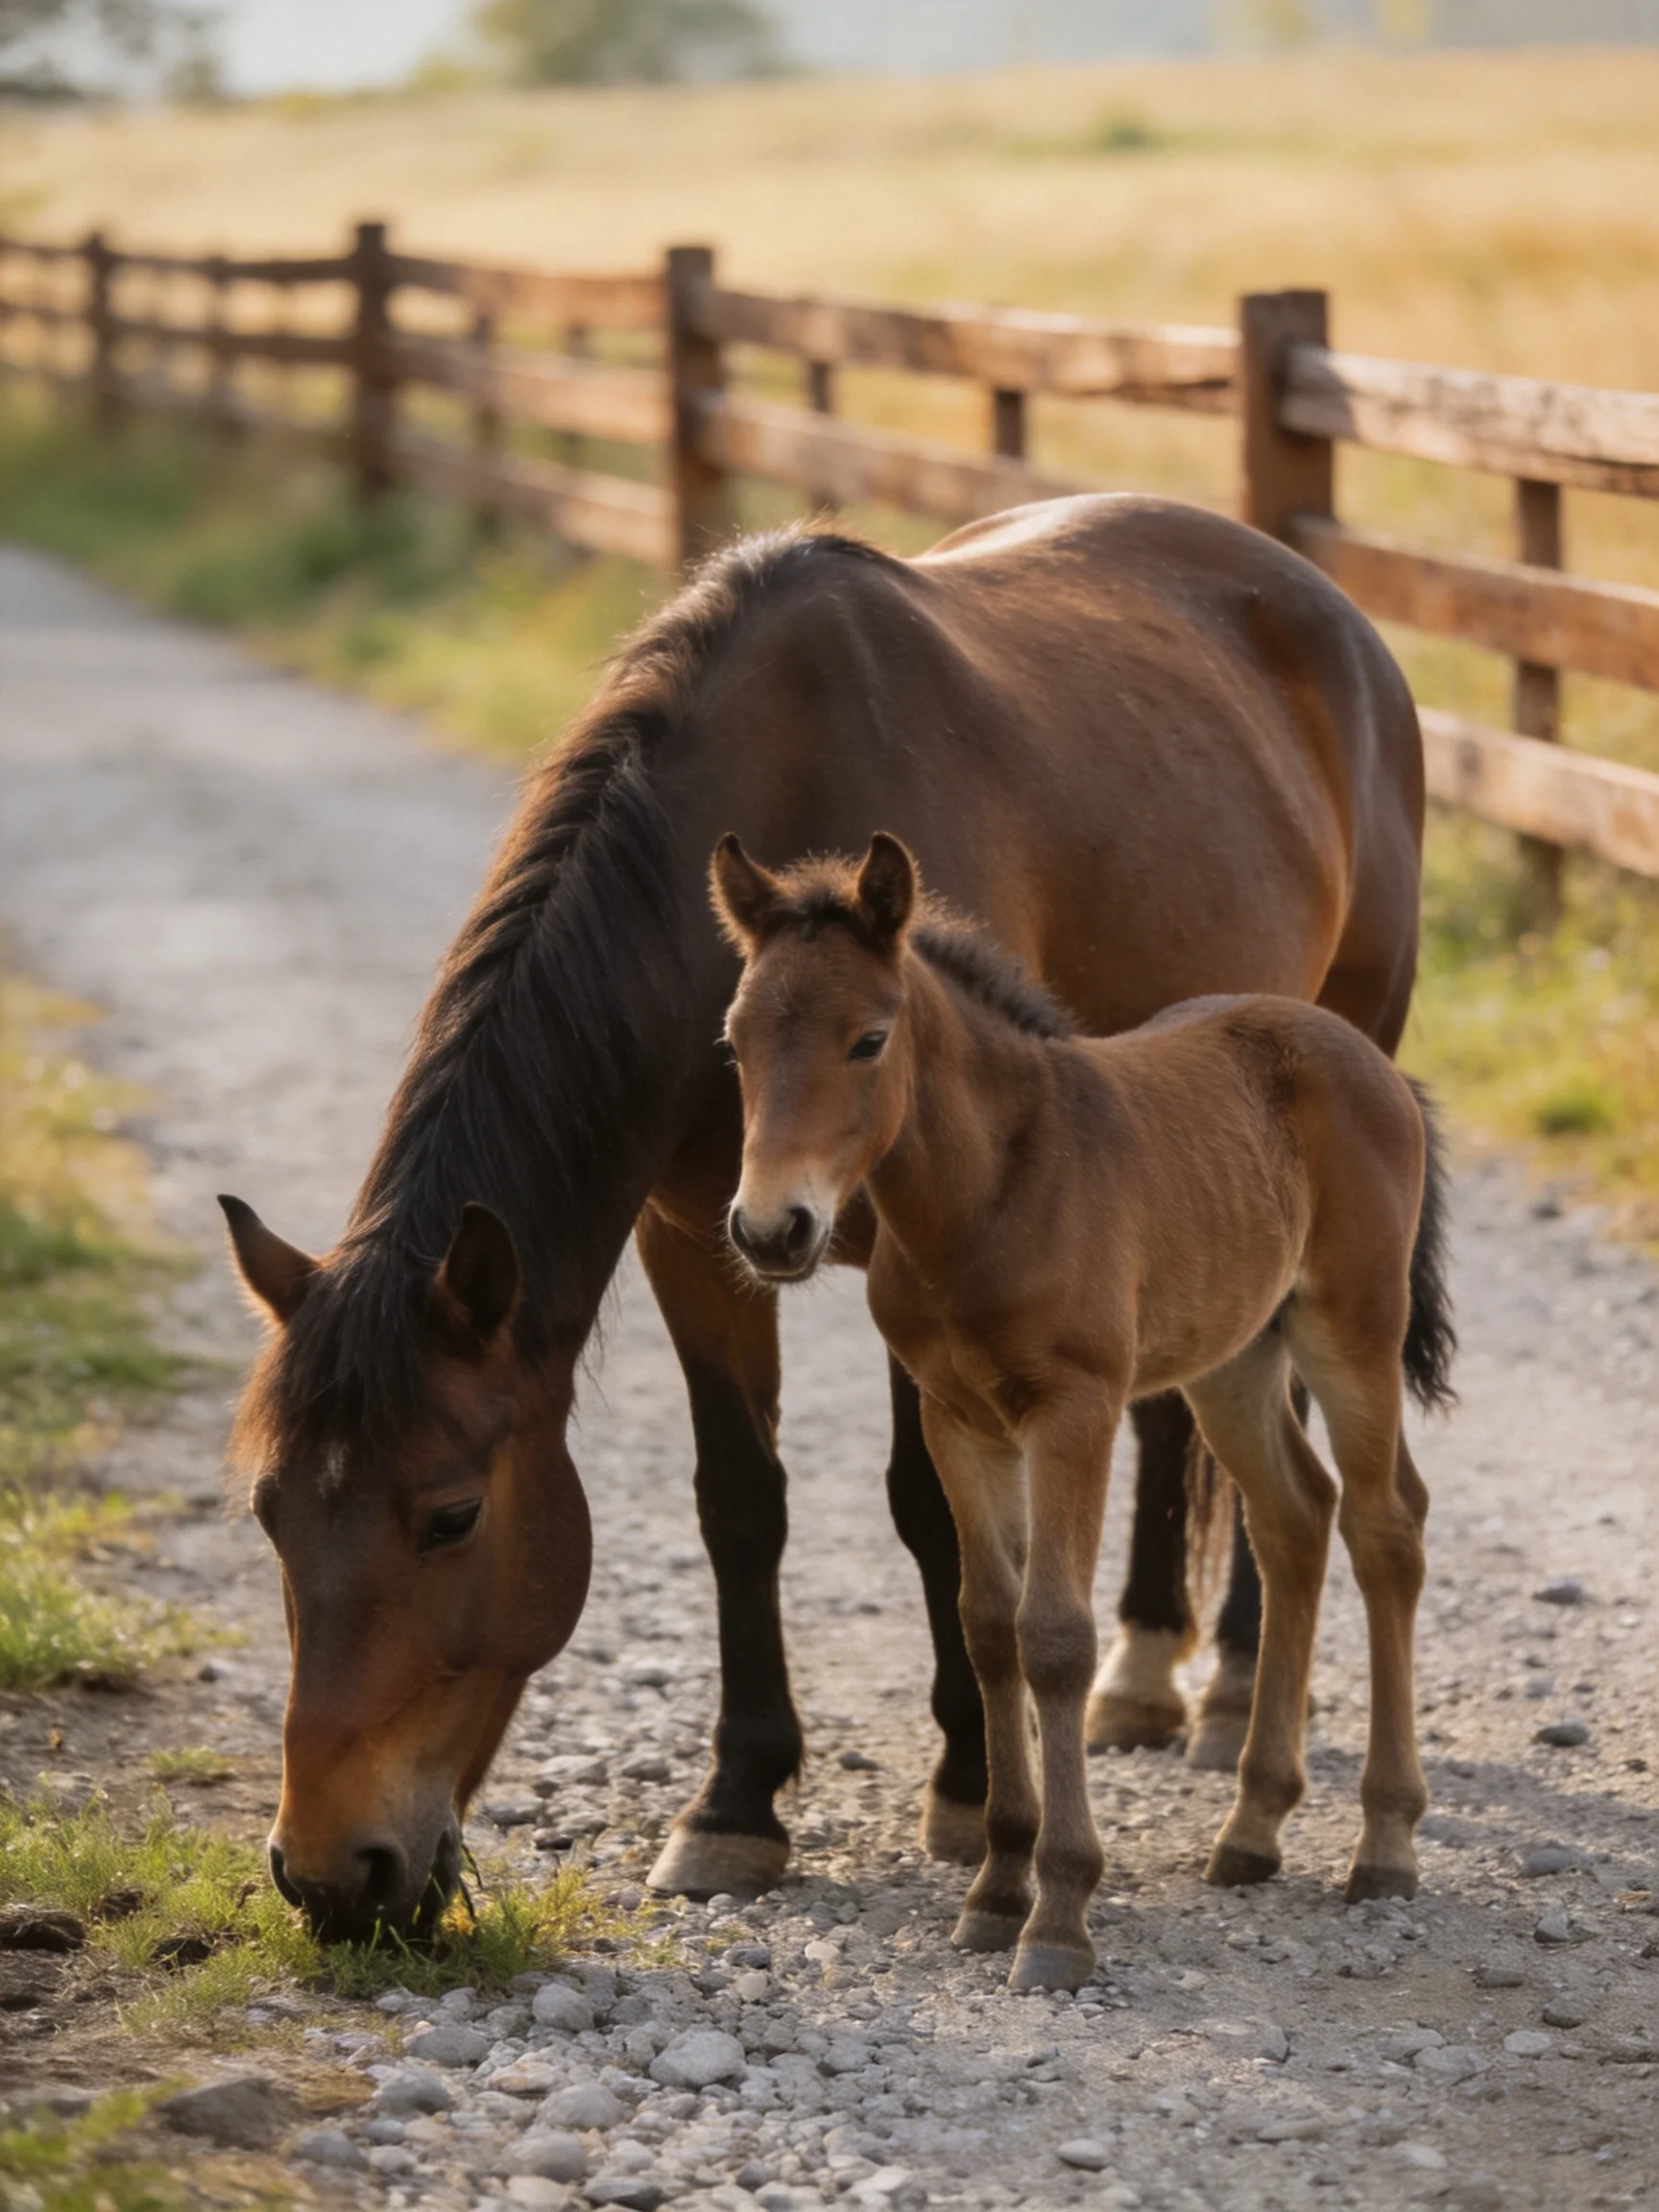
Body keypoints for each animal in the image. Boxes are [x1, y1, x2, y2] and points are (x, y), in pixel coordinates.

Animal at [714, 831, 1454, 1993]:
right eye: (736, 1045)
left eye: (868, 1040)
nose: (770, 1229)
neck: (990, 1195)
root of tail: (1366, 1056)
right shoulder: (957, 1417)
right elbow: (988, 1626)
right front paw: (994, 1888)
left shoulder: (1076, 1411)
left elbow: (1055, 1634)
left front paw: (1059, 1913)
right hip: (1235, 1357)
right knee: (1296, 1516)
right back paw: (1252, 1827)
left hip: (1353, 1330)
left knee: (1387, 1527)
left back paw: (1384, 1844)